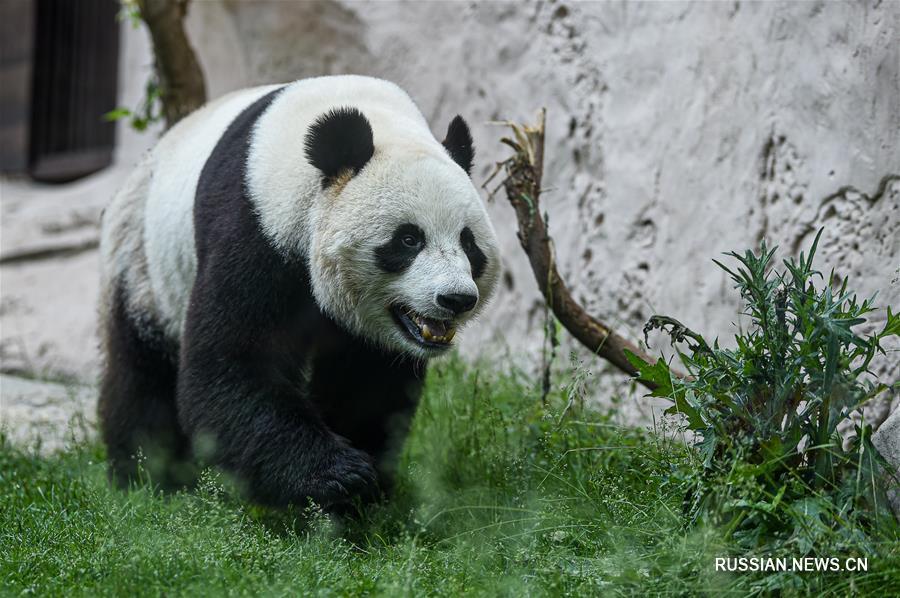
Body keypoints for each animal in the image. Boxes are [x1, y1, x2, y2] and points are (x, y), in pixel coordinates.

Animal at [102, 74, 502, 506]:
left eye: (468, 244)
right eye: (409, 239)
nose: (456, 299)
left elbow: (366, 383)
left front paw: (367, 487)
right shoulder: (254, 225)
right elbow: (235, 361)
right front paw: (339, 476)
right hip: (142, 259)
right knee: (141, 370)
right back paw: (151, 477)